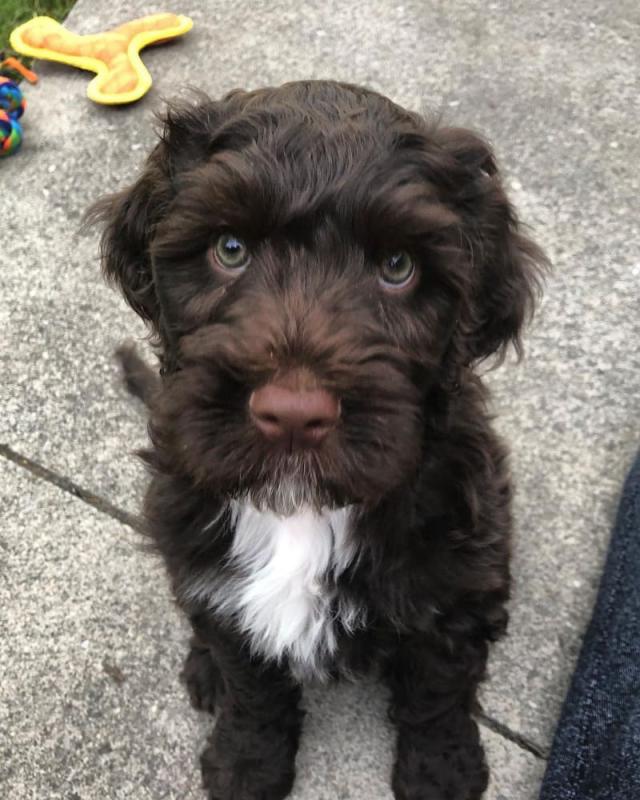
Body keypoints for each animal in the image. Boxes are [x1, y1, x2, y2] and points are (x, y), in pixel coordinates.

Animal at [92, 80, 546, 800]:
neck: (302, 508)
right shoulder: (220, 585)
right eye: (229, 249)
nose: (293, 414)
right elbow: (251, 688)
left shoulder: (455, 582)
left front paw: (442, 773)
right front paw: (245, 765)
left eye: (398, 266)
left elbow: (440, 692)